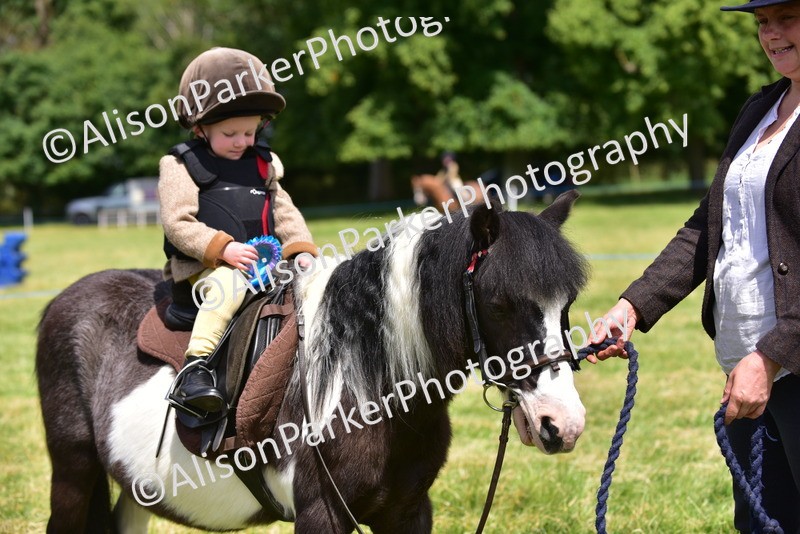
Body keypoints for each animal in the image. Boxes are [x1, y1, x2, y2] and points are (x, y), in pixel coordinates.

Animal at [36, 191, 589, 533]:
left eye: (567, 305)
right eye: (499, 305)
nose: (562, 423)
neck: (369, 382)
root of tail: (62, 300)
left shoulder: (408, 512)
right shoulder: (321, 512)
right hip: (73, 472)